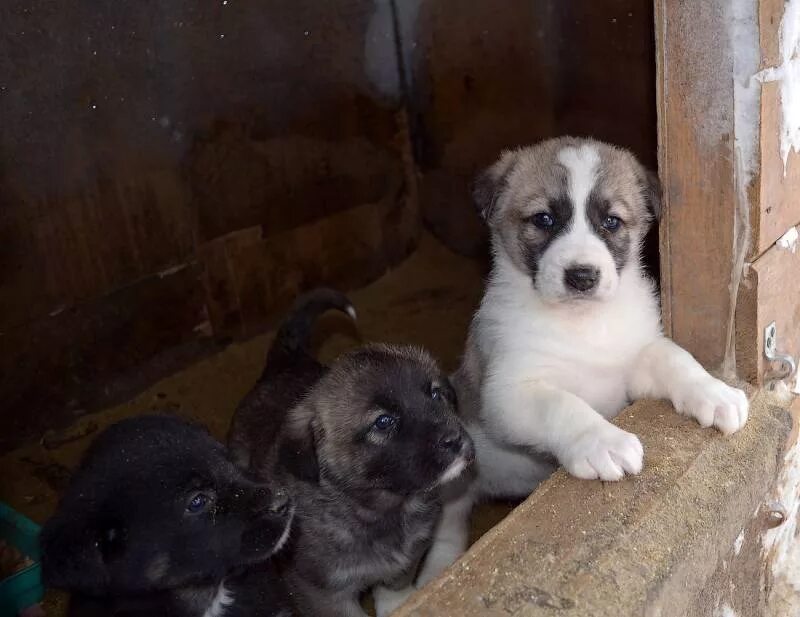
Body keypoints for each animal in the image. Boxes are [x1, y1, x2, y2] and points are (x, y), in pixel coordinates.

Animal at [227, 290, 476, 616]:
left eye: (436, 394)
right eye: (383, 422)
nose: (456, 439)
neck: (385, 509)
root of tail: (282, 365)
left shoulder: (411, 552)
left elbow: (394, 584)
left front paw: (399, 604)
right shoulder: (321, 591)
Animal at [412, 137, 752, 588]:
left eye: (611, 221)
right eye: (544, 219)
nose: (582, 276)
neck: (583, 325)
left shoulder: (635, 360)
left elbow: (674, 358)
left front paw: (715, 393)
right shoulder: (507, 394)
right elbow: (563, 404)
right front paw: (602, 442)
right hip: (459, 471)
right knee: (450, 520)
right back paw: (434, 570)